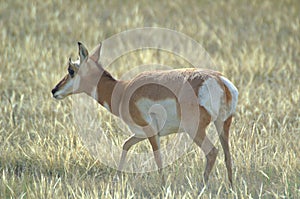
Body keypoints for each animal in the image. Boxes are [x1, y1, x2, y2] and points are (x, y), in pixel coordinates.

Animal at [52, 42, 239, 187]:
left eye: (71, 70)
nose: (54, 91)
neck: (123, 90)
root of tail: (219, 80)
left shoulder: (151, 132)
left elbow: (158, 159)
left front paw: (163, 187)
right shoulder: (140, 134)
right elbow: (126, 145)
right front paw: (117, 179)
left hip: (195, 130)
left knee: (212, 152)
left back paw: (202, 187)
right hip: (223, 126)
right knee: (227, 155)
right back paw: (230, 187)